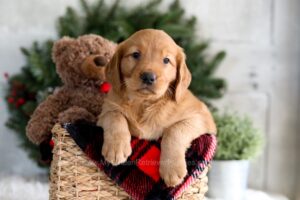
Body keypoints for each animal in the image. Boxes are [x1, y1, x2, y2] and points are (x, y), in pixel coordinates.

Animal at [97, 28, 217, 187]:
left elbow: (174, 131)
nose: (148, 77)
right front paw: (116, 147)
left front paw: (172, 169)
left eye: (166, 60)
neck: (144, 103)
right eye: (135, 54)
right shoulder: (105, 111)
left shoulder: (202, 117)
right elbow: (115, 116)